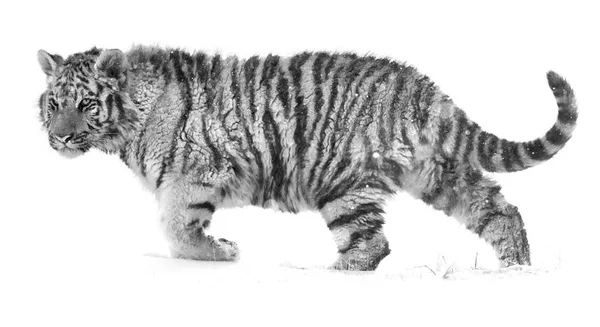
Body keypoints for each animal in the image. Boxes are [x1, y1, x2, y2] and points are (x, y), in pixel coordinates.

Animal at [36, 46, 576, 272]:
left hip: (343, 186)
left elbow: (176, 230)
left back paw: (316, 275)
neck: (130, 117)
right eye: (53, 103)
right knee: (501, 212)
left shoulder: (194, 176)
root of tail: (423, 90)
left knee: (370, 248)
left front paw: (222, 252)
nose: (59, 140)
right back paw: (516, 274)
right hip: (439, 173)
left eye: (86, 104)